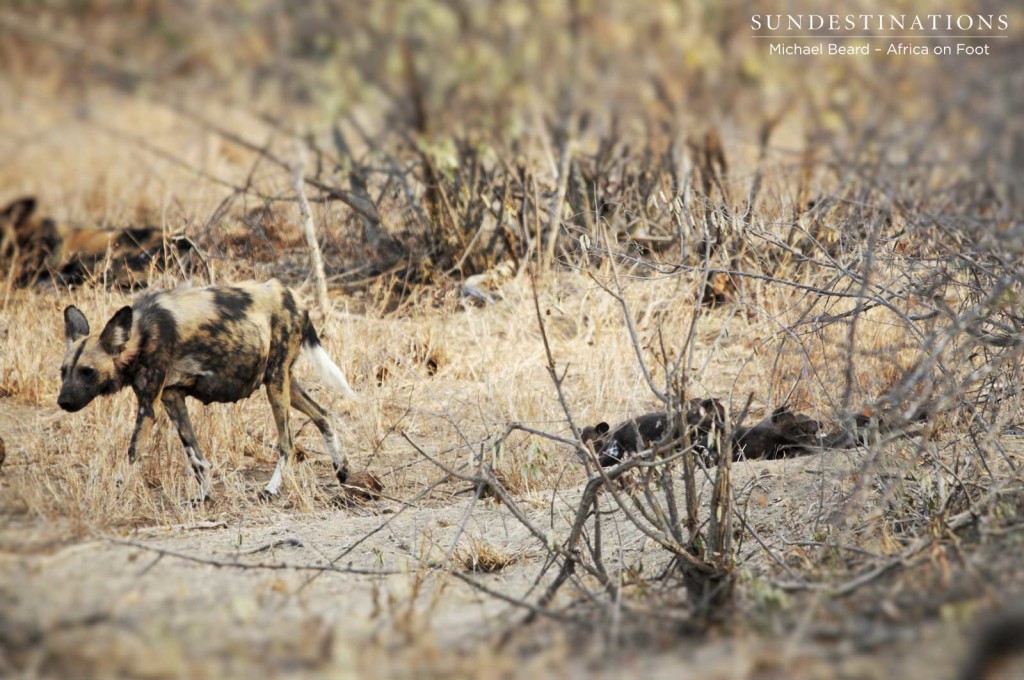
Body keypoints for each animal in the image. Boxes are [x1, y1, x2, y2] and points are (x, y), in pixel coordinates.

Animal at [58, 278, 360, 501]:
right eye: (63, 371)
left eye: (87, 371)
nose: (63, 402)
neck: (140, 335)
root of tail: (293, 295)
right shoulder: (172, 398)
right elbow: (196, 457)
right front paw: (204, 496)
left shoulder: (148, 407)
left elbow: (133, 454)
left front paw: (117, 494)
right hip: (282, 382)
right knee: (323, 415)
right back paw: (341, 470)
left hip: (276, 384)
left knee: (287, 442)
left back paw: (272, 488)